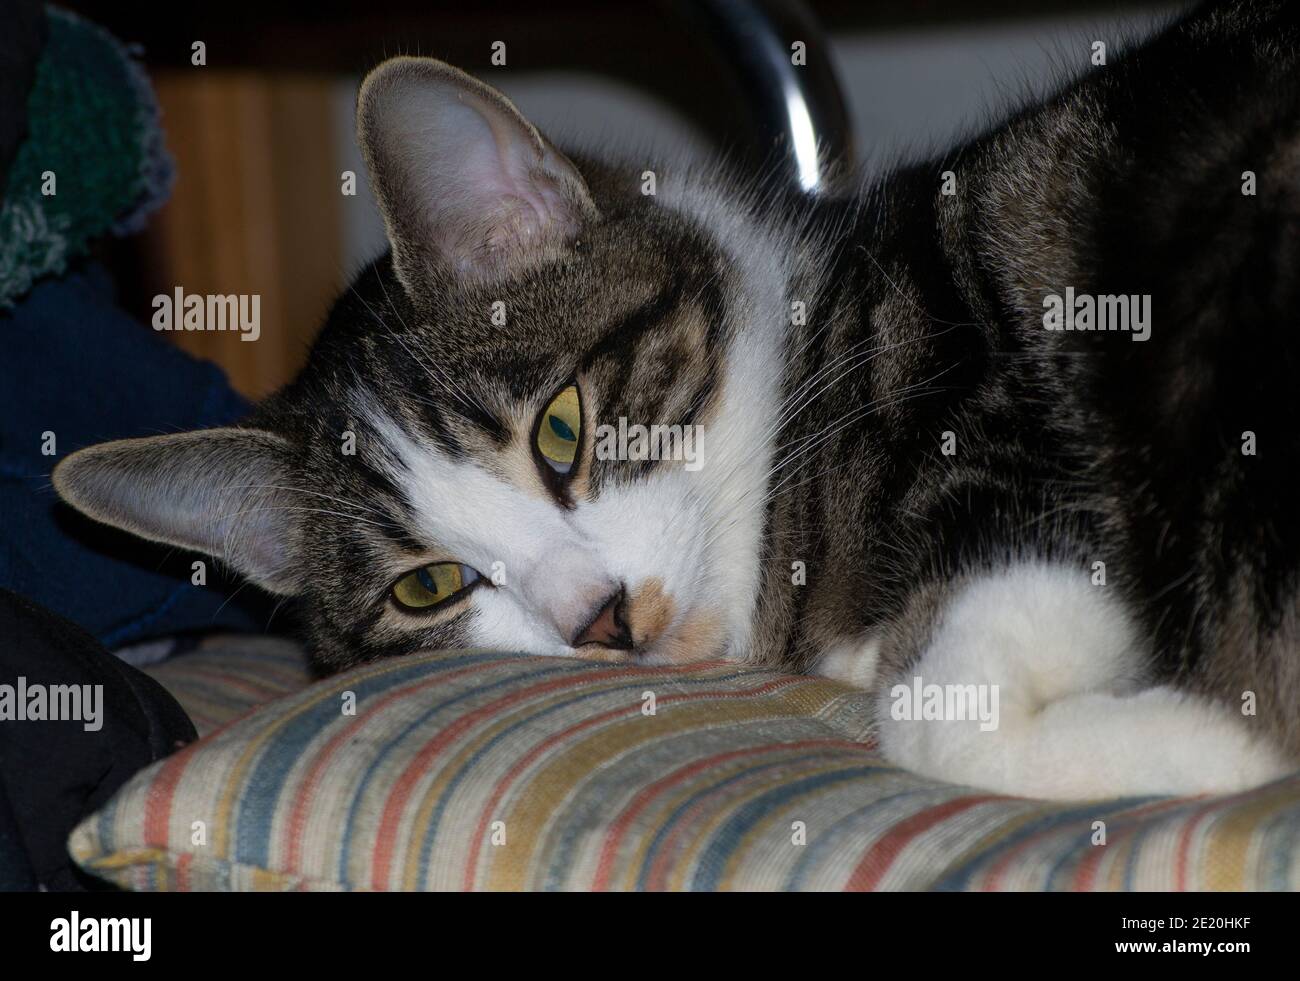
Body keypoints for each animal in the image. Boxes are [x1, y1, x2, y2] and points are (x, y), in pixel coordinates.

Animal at [50, 0, 1300, 800]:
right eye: (428, 587)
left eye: (561, 429)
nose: (604, 621)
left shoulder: (1005, 406)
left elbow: (941, 704)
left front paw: (1222, 746)